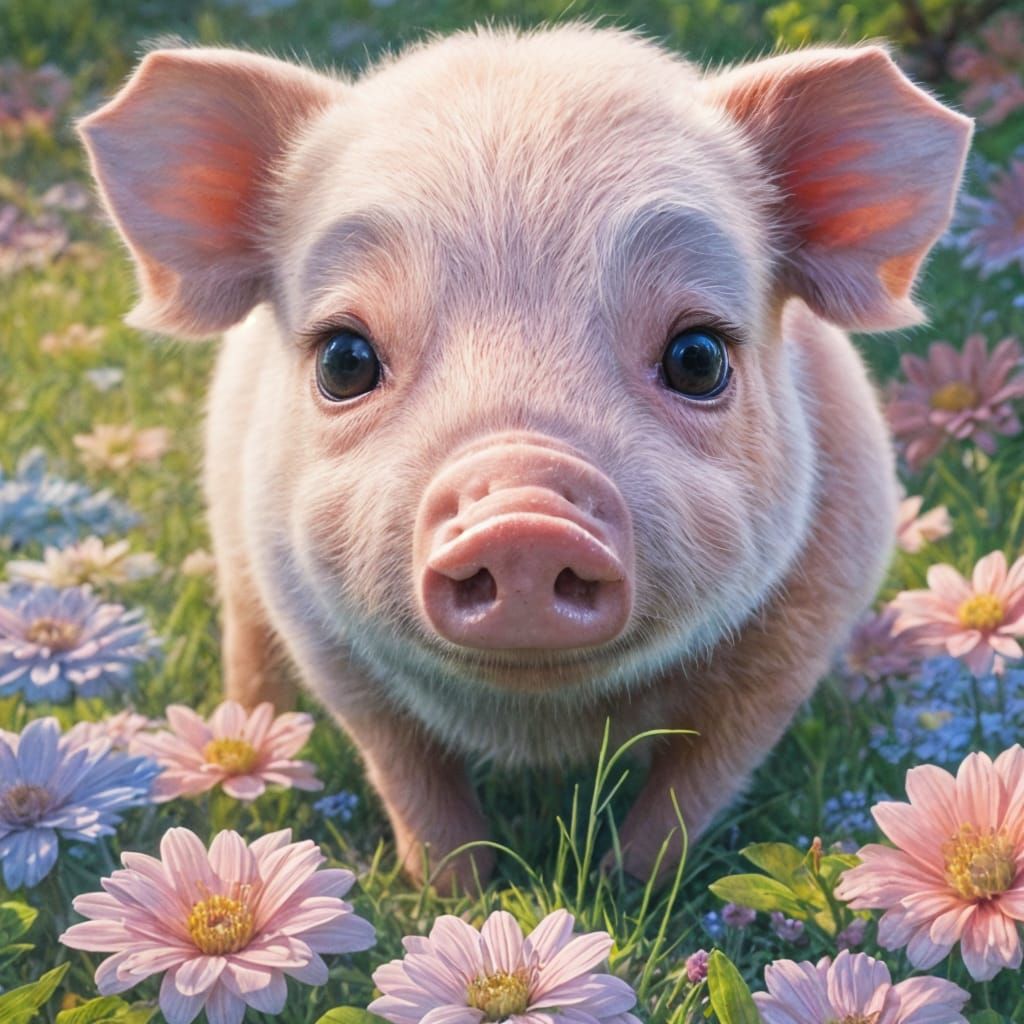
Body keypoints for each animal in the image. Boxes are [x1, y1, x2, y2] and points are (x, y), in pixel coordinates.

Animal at [78, 25, 971, 889]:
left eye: (697, 358)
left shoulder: (797, 640)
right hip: (238, 552)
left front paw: (620, 891)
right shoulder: (325, 639)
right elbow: (411, 780)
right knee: (247, 644)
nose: (524, 517)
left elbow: (693, 789)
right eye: (344, 360)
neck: (537, 724)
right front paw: (460, 900)